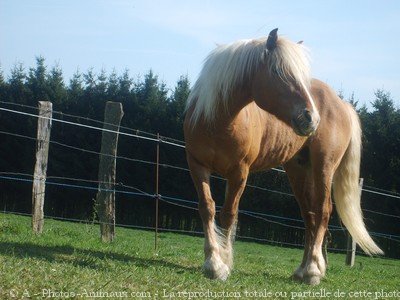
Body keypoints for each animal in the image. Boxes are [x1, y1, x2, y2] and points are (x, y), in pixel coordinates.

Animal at [183, 28, 382, 286]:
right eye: (277, 71)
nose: (311, 118)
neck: (218, 122)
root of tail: (341, 103)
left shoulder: (239, 172)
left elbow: (228, 214)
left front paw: (222, 265)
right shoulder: (197, 166)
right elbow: (207, 207)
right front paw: (212, 263)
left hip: (324, 167)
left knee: (323, 211)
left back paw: (313, 270)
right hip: (298, 171)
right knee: (309, 216)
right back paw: (302, 270)